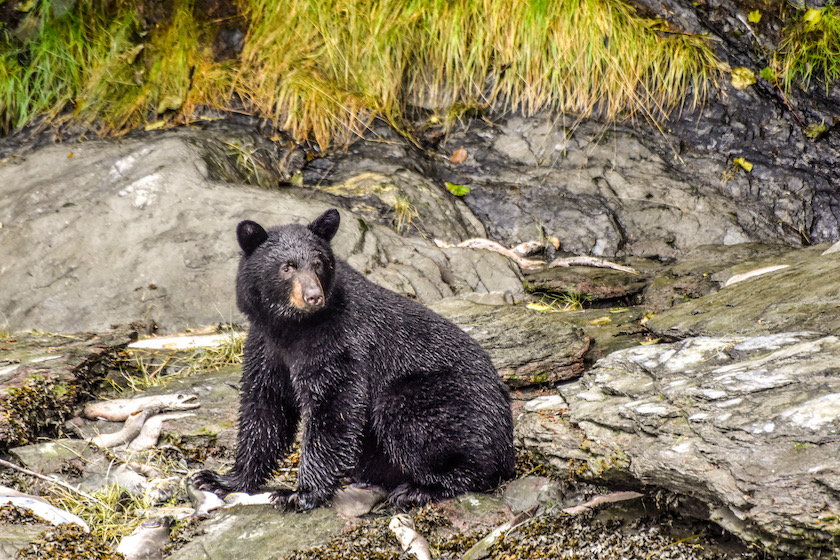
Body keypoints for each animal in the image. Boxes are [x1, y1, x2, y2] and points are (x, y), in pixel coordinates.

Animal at [193, 208, 515, 511]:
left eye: (318, 263)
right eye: (287, 267)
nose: (313, 296)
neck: (292, 328)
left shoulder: (339, 340)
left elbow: (334, 404)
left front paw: (300, 493)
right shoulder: (266, 346)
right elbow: (265, 408)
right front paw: (220, 479)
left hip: (442, 400)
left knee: (419, 425)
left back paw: (420, 488)